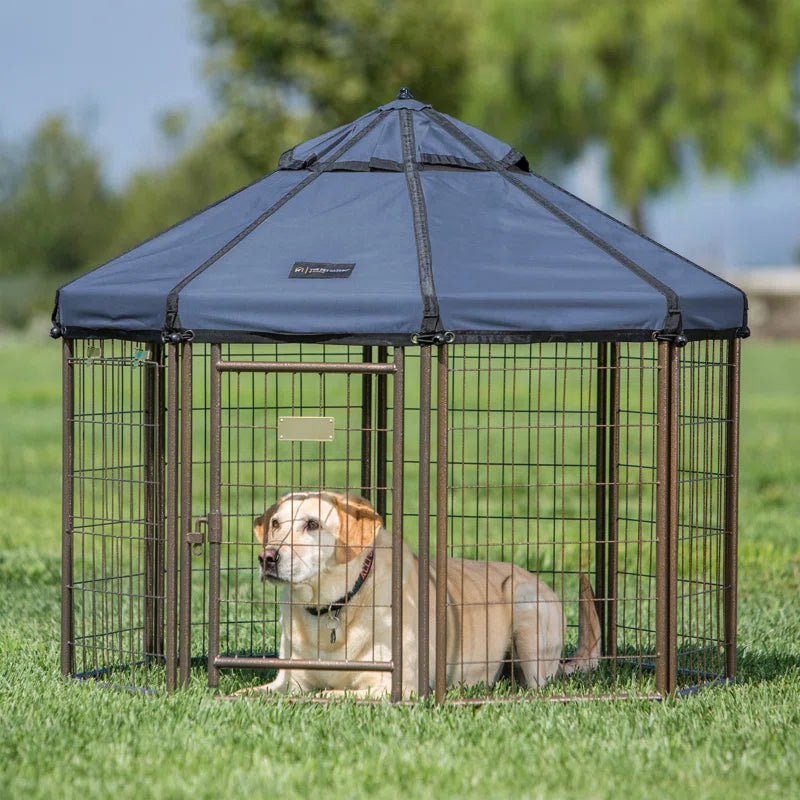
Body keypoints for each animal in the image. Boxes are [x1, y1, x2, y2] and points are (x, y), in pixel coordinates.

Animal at [244, 490, 600, 696]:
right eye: (275, 524)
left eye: (313, 524)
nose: (267, 557)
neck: (333, 607)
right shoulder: (288, 682)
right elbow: (253, 694)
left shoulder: (394, 685)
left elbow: (326, 695)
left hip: (527, 606)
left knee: (537, 685)